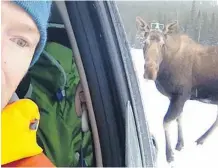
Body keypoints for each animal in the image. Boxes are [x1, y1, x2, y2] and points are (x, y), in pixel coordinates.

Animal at [135, 16, 218, 163]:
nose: (150, 72)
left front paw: (169, 154)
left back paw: (201, 139)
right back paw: (201, 139)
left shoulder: (181, 94)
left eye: (162, 44)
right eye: (144, 42)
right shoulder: (174, 97)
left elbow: (166, 121)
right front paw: (179, 143)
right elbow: (179, 118)